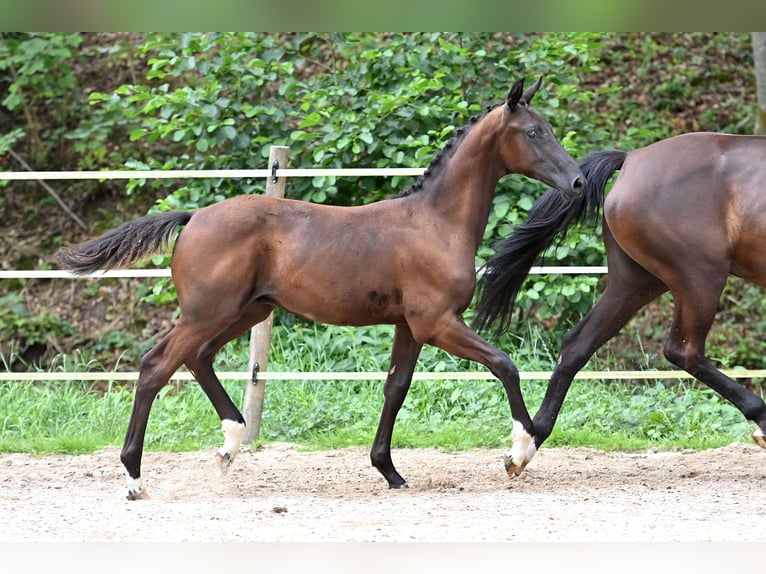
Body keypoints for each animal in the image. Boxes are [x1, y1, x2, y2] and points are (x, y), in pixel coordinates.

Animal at [57, 76, 584, 500]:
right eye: (534, 132)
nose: (578, 182)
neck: (435, 223)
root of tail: (193, 218)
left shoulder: (409, 327)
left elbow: (396, 388)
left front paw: (389, 471)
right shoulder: (437, 323)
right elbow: (504, 364)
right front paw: (519, 454)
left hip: (246, 311)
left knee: (198, 358)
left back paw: (230, 445)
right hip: (209, 312)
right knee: (155, 367)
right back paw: (135, 479)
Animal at [474, 132, 766, 476]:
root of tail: (631, 160)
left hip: (636, 283)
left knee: (577, 345)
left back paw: (525, 447)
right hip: (700, 277)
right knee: (684, 351)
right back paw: (762, 420)